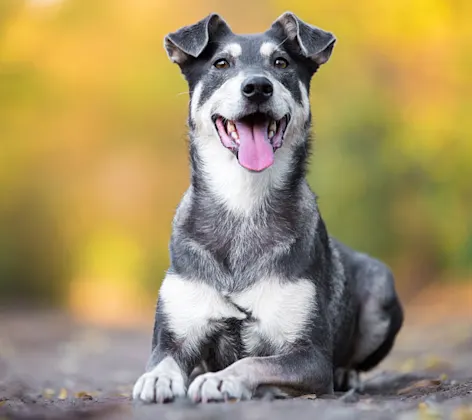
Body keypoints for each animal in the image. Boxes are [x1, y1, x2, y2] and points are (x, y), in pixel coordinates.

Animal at [132, 10, 402, 404]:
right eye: (221, 63)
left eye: (281, 63)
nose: (258, 87)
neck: (243, 203)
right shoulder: (173, 336)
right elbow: (163, 359)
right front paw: (157, 378)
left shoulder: (308, 357)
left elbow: (253, 363)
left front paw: (220, 380)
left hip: (381, 290)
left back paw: (348, 374)